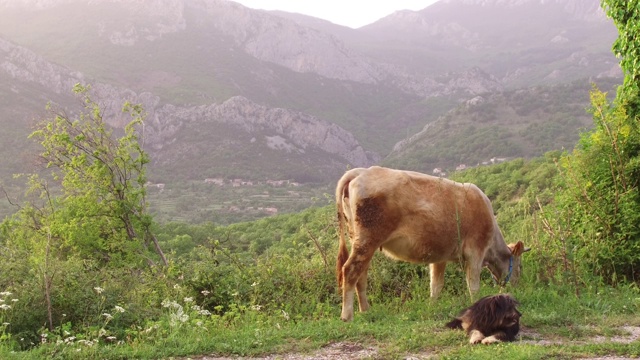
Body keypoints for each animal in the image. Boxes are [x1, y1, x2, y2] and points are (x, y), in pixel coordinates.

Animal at [332, 166, 528, 320]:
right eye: (520, 266)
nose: (518, 288)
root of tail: (361, 171)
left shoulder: (440, 257)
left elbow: (436, 285)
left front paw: (432, 307)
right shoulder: (475, 252)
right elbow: (473, 285)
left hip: (360, 240)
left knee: (361, 275)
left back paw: (365, 310)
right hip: (368, 239)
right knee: (350, 271)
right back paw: (347, 316)